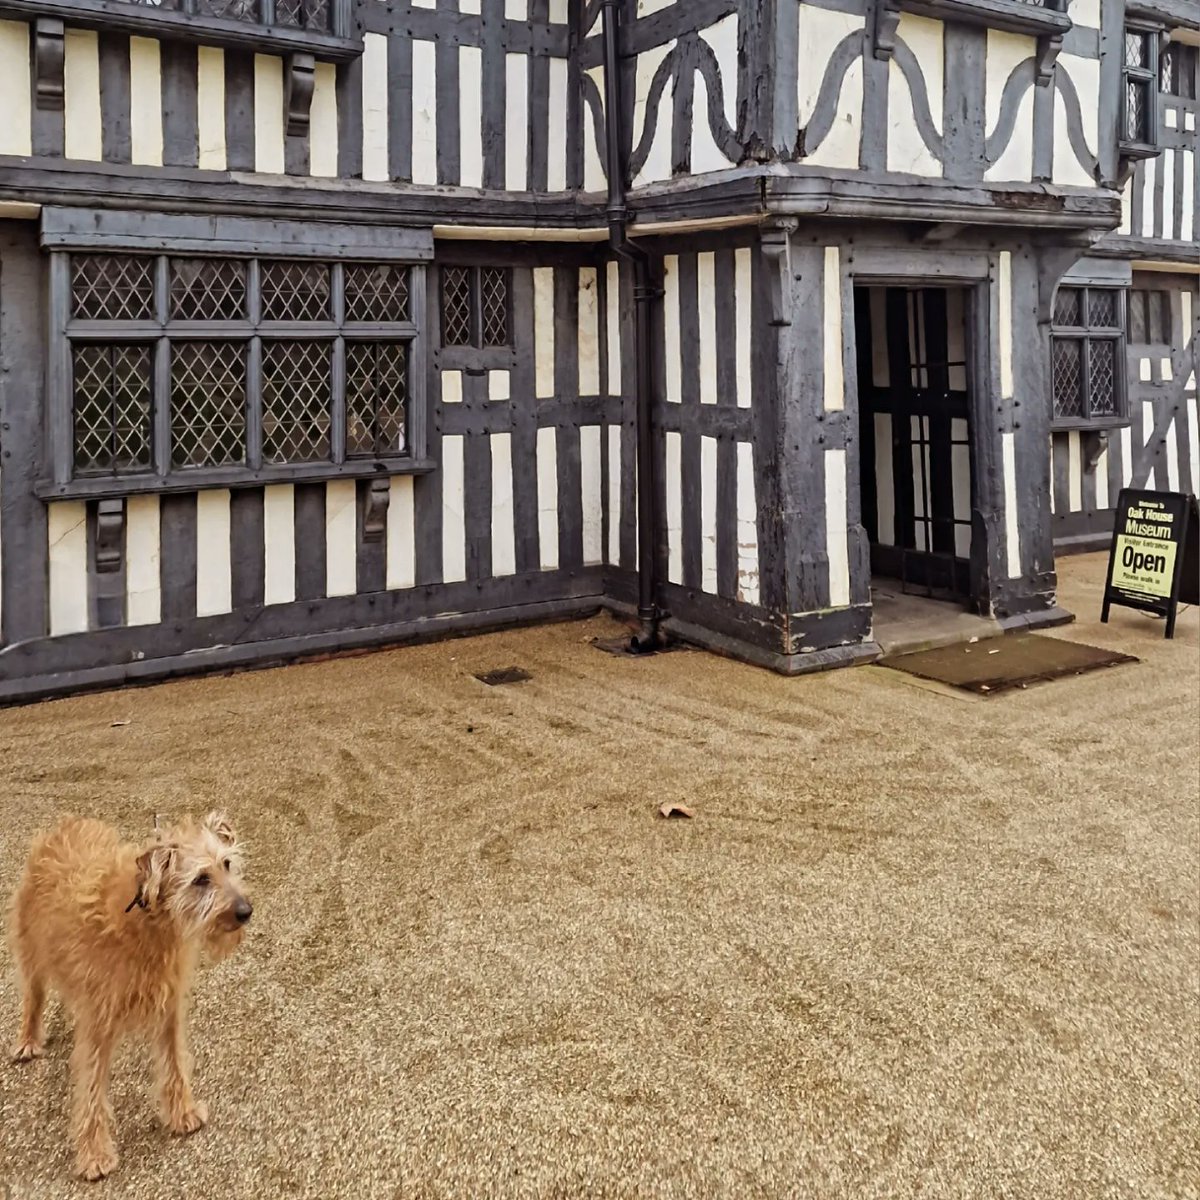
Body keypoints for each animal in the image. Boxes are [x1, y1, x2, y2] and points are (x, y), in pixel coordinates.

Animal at [7, 811, 253, 1176]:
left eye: (226, 863)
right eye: (200, 879)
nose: (245, 910)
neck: (149, 922)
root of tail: (65, 824)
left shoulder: (168, 1009)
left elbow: (174, 1063)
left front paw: (182, 1112)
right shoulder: (97, 1024)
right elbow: (92, 1090)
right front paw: (94, 1153)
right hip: (31, 945)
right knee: (34, 995)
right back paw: (28, 1039)